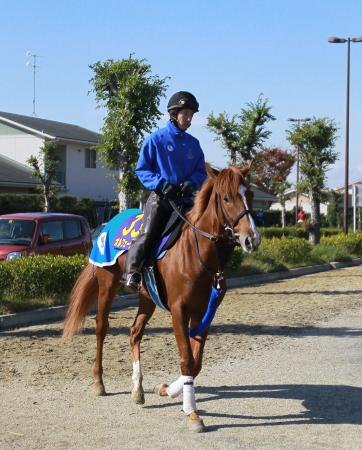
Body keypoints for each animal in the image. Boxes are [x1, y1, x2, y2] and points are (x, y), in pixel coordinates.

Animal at [62, 163, 260, 430]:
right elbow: (186, 359)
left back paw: (138, 388)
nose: (252, 239)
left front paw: (168, 390)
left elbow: (196, 363)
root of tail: (107, 225)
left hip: (148, 297)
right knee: (101, 327)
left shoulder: (204, 311)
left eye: (249, 194)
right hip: (107, 284)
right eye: (227, 198)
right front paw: (192, 412)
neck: (196, 253)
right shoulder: (179, 310)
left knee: (135, 332)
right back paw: (99, 382)